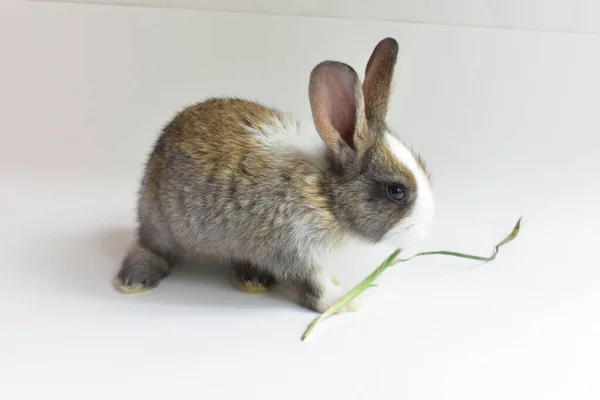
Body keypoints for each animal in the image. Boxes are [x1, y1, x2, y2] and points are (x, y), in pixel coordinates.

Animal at [112, 37, 434, 312]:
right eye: (397, 191)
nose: (427, 229)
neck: (326, 196)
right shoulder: (295, 251)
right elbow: (313, 287)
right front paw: (343, 302)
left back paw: (252, 280)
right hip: (160, 222)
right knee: (150, 247)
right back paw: (133, 281)